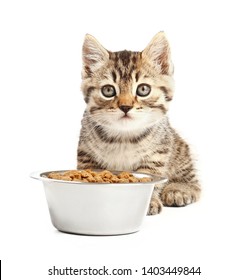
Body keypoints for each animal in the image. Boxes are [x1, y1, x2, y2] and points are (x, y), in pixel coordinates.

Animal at [76, 31, 201, 214]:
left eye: (143, 89)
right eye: (108, 90)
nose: (125, 106)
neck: (123, 136)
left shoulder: (158, 152)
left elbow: (151, 175)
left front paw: (149, 201)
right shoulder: (85, 152)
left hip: (178, 145)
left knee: (194, 181)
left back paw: (179, 189)